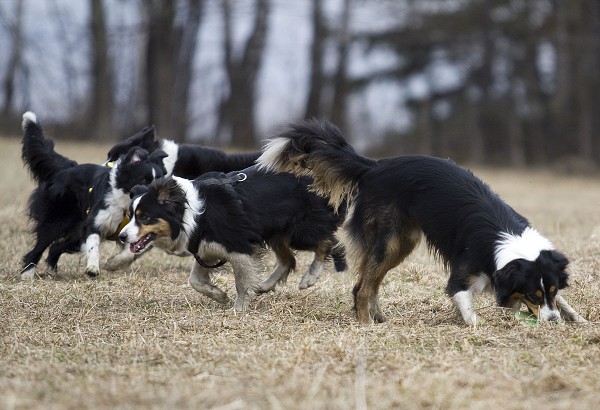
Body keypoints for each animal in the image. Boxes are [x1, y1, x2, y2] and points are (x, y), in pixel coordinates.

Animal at [118, 167, 342, 310]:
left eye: (144, 217)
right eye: (130, 215)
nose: (121, 236)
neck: (192, 214)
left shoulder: (238, 246)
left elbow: (241, 282)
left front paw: (237, 309)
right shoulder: (205, 248)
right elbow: (194, 280)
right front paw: (220, 295)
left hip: (300, 231)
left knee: (327, 243)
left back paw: (310, 277)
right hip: (276, 231)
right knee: (288, 259)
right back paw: (265, 286)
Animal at [258, 117, 584, 324]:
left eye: (551, 291)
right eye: (532, 294)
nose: (553, 322)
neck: (506, 238)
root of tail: (374, 166)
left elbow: (564, 303)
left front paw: (576, 318)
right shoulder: (462, 276)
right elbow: (468, 309)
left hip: (402, 244)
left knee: (367, 284)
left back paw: (378, 318)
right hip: (387, 241)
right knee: (361, 287)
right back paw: (365, 325)